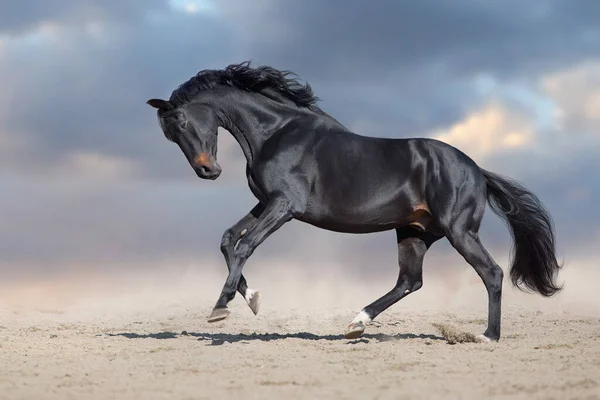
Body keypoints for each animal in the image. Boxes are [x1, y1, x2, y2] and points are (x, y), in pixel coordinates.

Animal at [146, 61, 564, 342]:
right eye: (169, 133)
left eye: (181, 121)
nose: (208, 170)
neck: (277, 133)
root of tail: (477, 170)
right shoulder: (266, 203)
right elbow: (227, 240)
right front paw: (251, 299)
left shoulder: (284, 206)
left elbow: (244, 246)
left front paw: (221, 308)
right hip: (414, 232)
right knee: (410, 281)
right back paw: (356, 323)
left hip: (458, 230)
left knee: (491, 273)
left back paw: (487, 336)